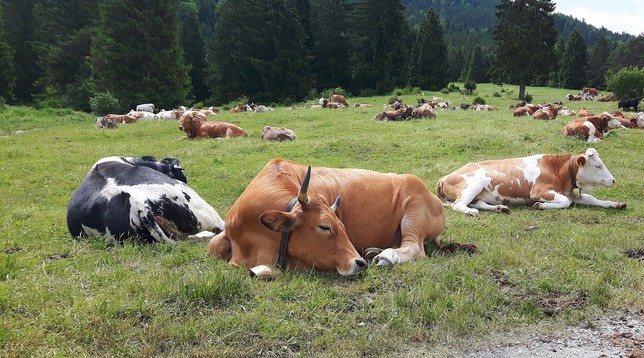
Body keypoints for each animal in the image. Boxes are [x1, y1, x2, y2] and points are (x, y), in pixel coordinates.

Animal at [436, 148, 628, 215]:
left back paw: (499, 208)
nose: (613, 180)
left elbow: (592, 199)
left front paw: (616, 204)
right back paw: (471, 212)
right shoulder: (538, 191)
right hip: (473, 185)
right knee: (459, 205)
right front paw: (540, 205)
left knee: (477, 203)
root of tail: (444, 177)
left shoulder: (573, 194)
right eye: (597, 165)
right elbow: (564, 202)